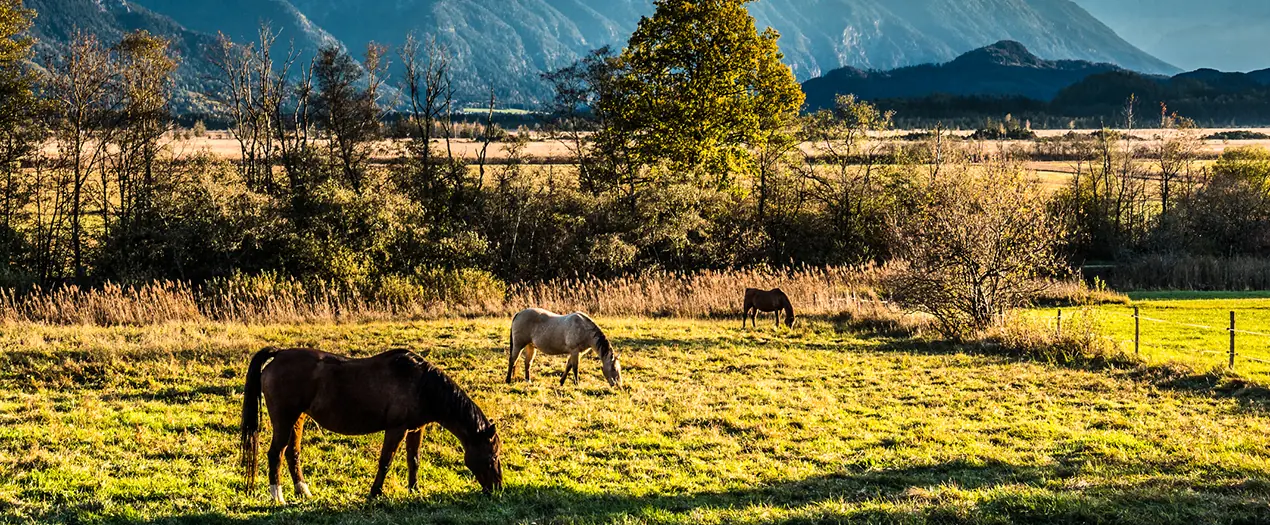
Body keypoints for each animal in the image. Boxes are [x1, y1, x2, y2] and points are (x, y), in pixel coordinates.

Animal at [240, 347, 503, 504]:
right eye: (491, 457)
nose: (497, 489)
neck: (421, 384)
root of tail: (279, 354)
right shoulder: (396, 429)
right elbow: (386, 461)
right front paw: (375, 493)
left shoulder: (416, 429)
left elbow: (414, 461)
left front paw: (414, 490)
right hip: (285, 420)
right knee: (275, 454)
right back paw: (277, 497)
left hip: (298, 420)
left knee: (292, 454)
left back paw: (303, 491)